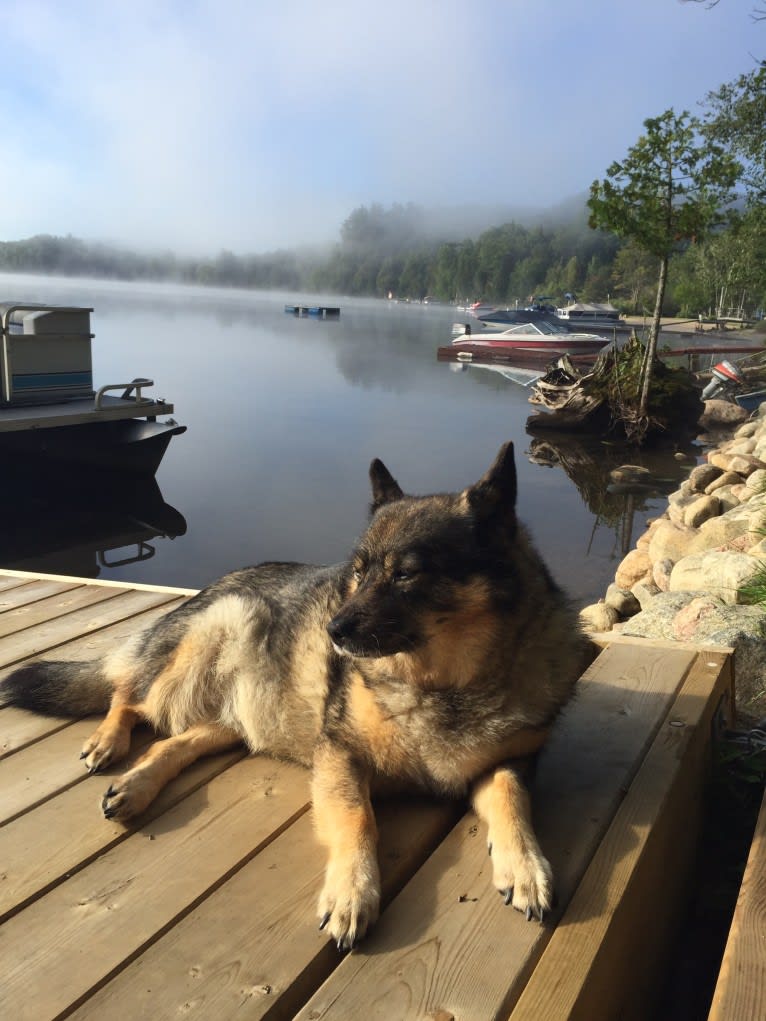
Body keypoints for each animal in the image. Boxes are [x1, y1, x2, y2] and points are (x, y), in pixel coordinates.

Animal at [0, 439, 588, 947]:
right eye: (359, 571)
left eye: (407, 575)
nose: (333, 630)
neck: (441, 684)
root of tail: (215, 586)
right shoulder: (341, 757)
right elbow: (358, 819)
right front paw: (352, 892)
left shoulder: (507, 762)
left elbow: (512, 801)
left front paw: (525, 867)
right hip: (208, 639)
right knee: (127, 693)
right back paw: (108, 742)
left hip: (234, 720)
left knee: (176, 741)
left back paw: (136, 786)